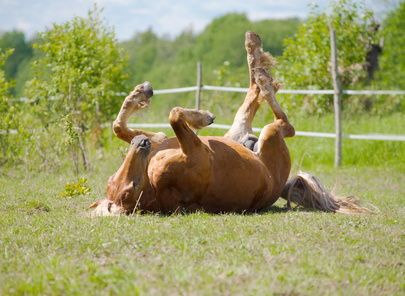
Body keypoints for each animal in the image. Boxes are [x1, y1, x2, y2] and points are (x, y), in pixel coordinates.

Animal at [89, 32, 370, 216]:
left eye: (114, 181)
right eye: (130, 190)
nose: (141, 144)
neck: (154, 182)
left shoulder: (162, 141)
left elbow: (120, 127)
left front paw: (139, 95)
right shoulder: (196, 150)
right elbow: (173, 115)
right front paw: (202, 117)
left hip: (237, 132)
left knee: (251, 95)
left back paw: (254, 51)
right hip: (271, 135)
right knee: (283, 122)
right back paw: (263, 76)